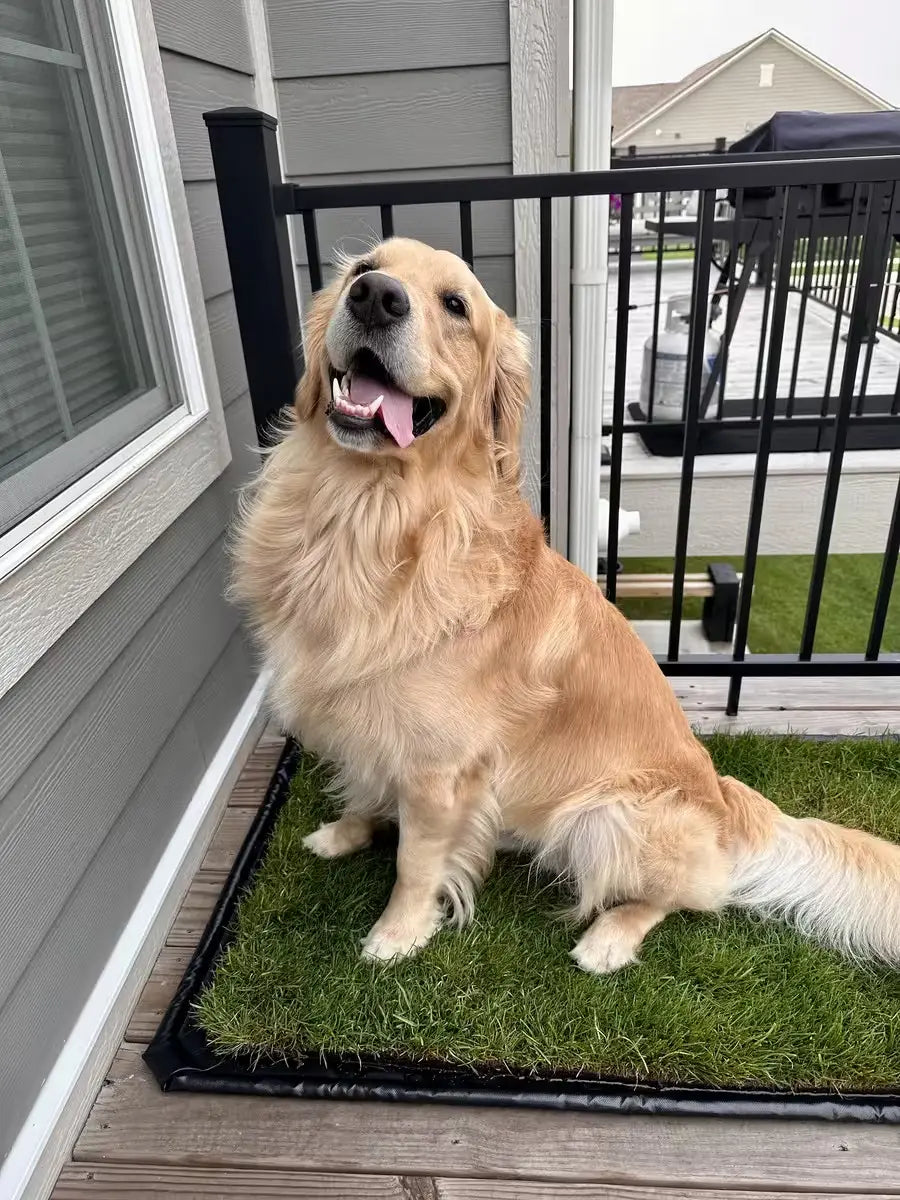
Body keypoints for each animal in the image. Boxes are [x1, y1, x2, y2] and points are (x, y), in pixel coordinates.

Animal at [232, 236, 900, 974]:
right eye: (363, 268)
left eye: (455, 305)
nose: (375, 297)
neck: (366, 517)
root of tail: (727, 801)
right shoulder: (372, 725)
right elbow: (367, 786)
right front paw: (347, 831)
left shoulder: (440, 769)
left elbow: (415, 862)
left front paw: (398, 933)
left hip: (608, 818)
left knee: (686, 897)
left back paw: (609, 938)